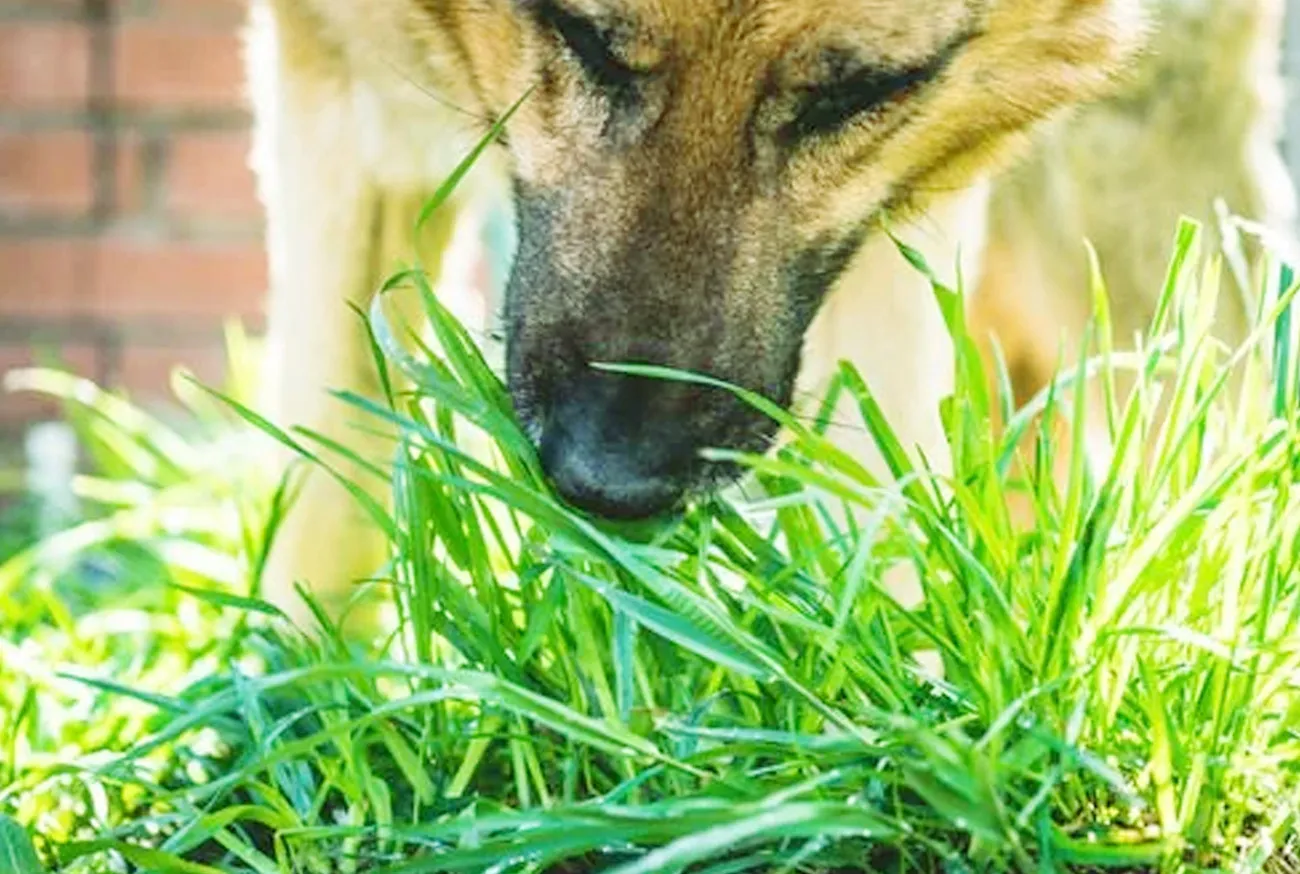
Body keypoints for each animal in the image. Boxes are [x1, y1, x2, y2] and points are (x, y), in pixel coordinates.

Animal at [241, 0, 1289, 629]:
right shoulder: (334, 90)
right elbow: (329, 487)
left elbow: (874, 497)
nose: (606, 483)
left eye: (859, 92)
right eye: (580, 33)